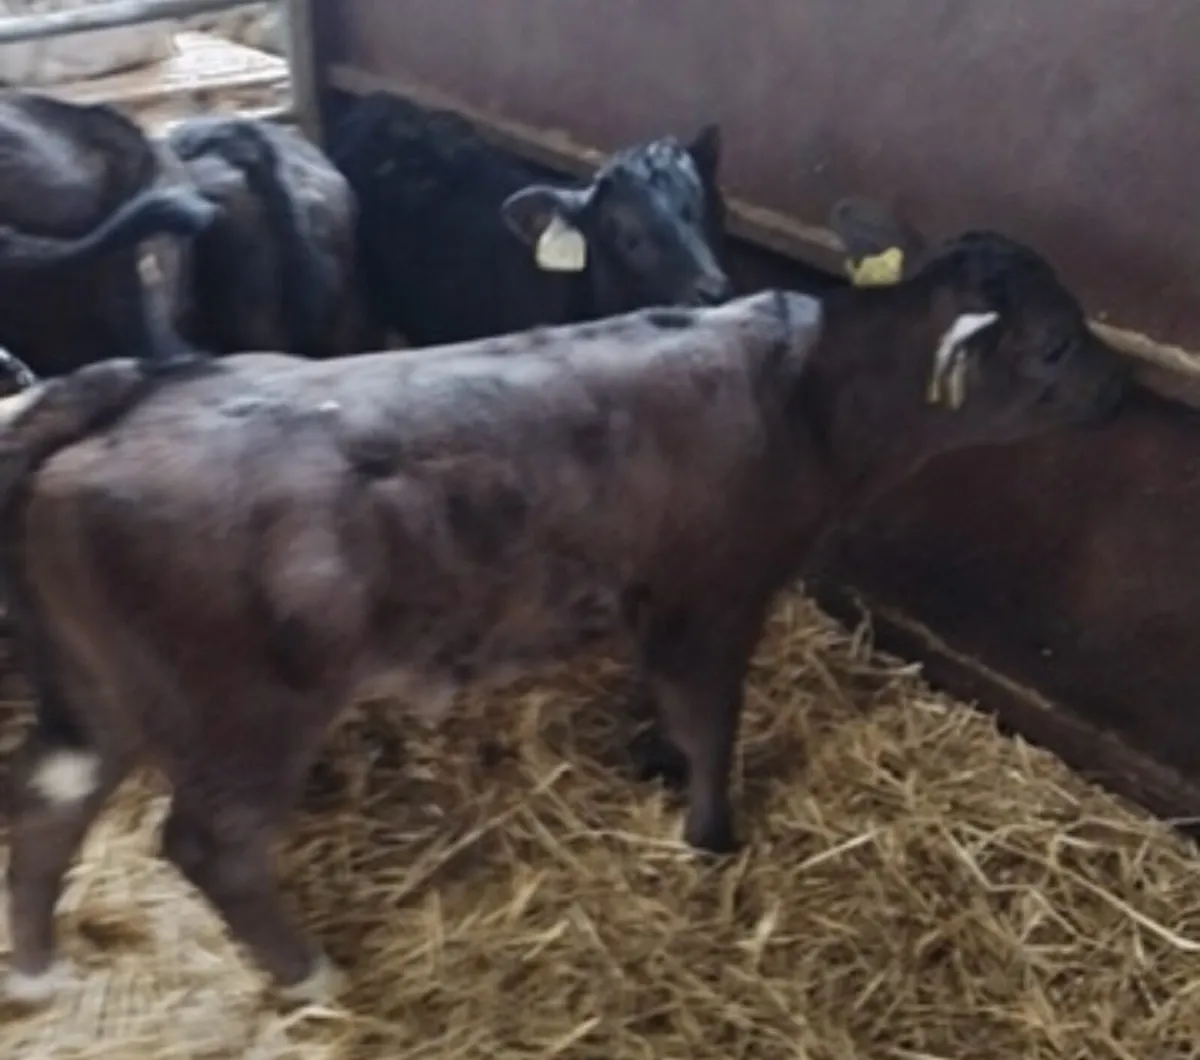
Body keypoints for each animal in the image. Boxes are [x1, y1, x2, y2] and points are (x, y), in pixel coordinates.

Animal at [0, 203, 1126, 1003]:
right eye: (1056, 346)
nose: (1120, 392)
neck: (807, 395)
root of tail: (145, 386)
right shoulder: (717, 594)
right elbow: (711, 722)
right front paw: (712, 835)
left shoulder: (656, 600)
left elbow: (665, 707)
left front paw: (654, 767)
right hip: (247, 713)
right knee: (213, 847)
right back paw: (314, 977)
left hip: (97, 691)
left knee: (47, 800)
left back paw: (39, 972)